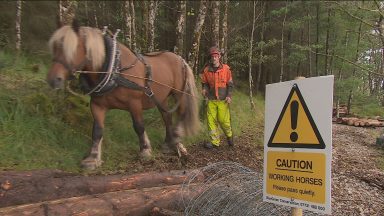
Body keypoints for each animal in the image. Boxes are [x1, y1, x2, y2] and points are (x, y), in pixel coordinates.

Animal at [46, 22, 200, 170]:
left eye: (71, 48)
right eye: (54, 48)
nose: (53, 79)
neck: (114, 69)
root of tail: (180, 59)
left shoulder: (134, 103)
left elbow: (138, 126)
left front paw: (145, 151)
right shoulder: (97, 105)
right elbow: (97, 130)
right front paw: (93, 158)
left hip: (179, 94)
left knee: (180, 114)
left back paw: (178, 141)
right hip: (161, 97)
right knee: (167, 117)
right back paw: (169, 143)